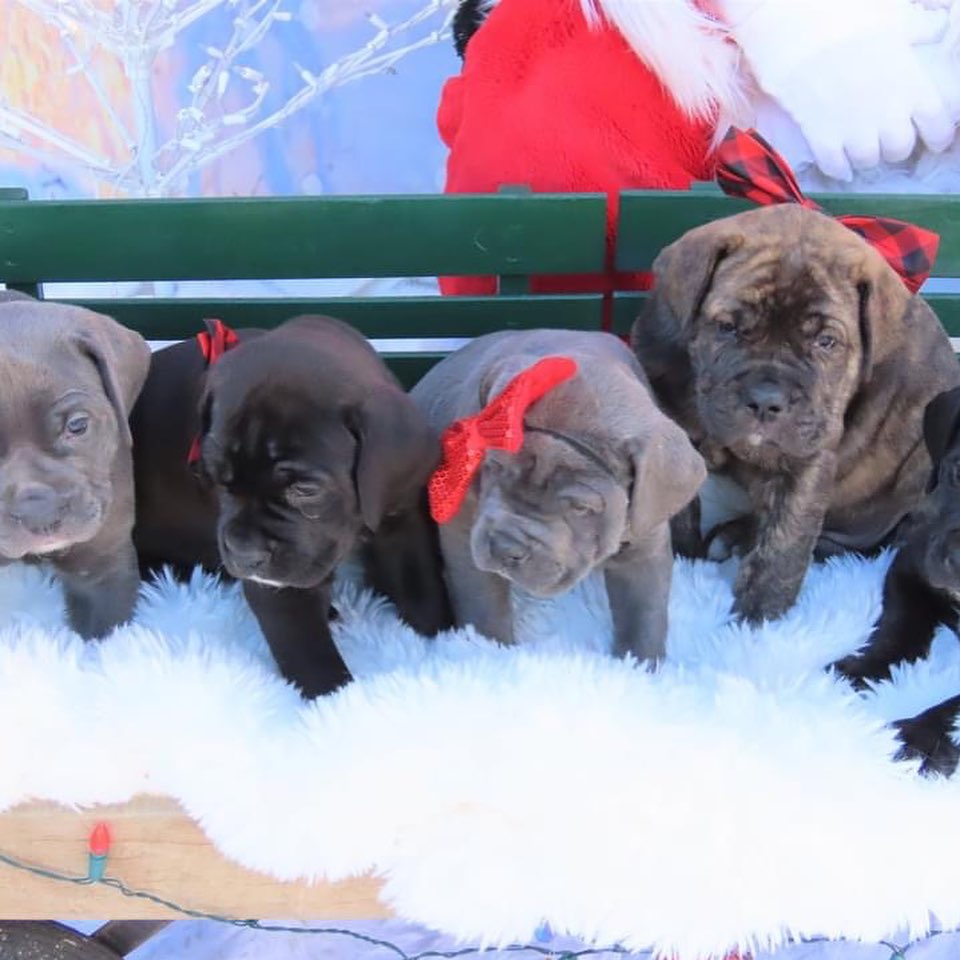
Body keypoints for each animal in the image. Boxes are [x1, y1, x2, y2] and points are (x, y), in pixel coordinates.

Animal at [130, 316, 454, 696]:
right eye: (214, 477)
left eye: (305, 489)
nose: (243, 553)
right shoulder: (276, 588)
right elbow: (310, 655)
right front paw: (341, 701)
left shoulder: (401, 513)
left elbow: (421, 587)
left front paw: (443, 640)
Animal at [410, 328, 704, 660]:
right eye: (495, 467)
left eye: (581, 508)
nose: (504, 547)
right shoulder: (462, 524)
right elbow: (481, 598)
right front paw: (493, 652)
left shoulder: (646, 537)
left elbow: (645, 610)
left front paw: (639, 664)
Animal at [632, 204, 960, 624]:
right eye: (727, 328)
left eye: (826, 342)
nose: (766, 400)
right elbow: (674, 503)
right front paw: (683, 557)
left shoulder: (808, 452)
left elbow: (787, 538)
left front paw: (759, 617)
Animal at [836, 382, 960, 772]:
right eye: (958, 471)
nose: (956, 557)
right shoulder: (911, 563)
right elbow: (900, 625)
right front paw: (858, 670)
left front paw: (920, 738)